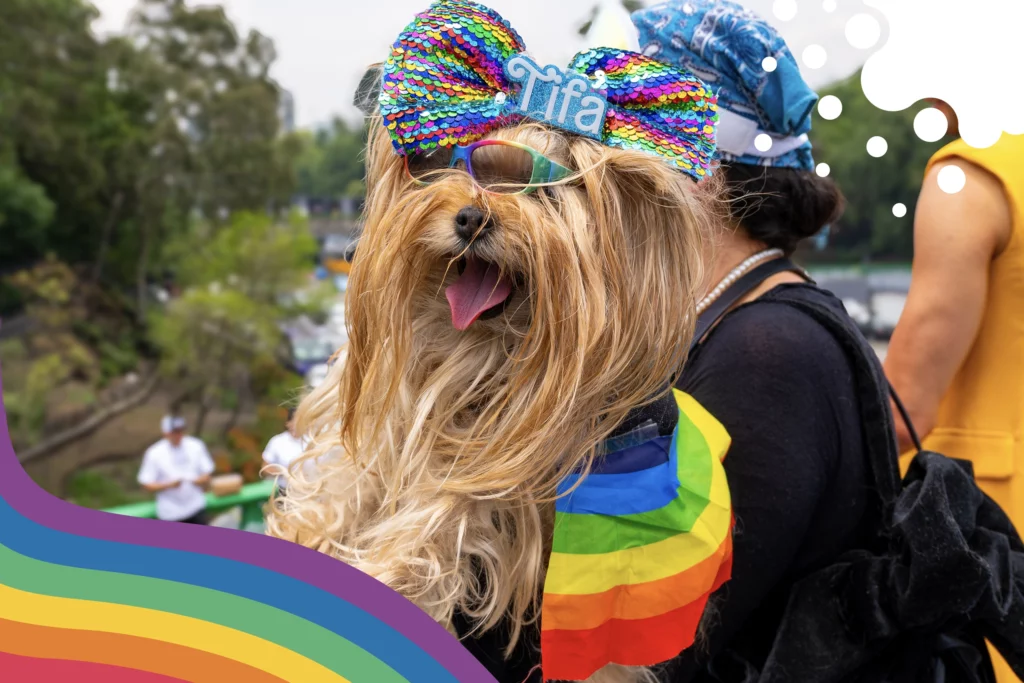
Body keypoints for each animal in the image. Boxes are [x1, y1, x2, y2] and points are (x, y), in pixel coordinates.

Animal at [268, 2, 724, 679]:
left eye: (550, 195)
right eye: (458, 171)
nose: (472, 216)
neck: (476, 350)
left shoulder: (514, 469)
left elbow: (448, 507)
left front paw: (384, 577)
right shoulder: (393, 411)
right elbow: (355, 475)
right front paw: (306, 533)